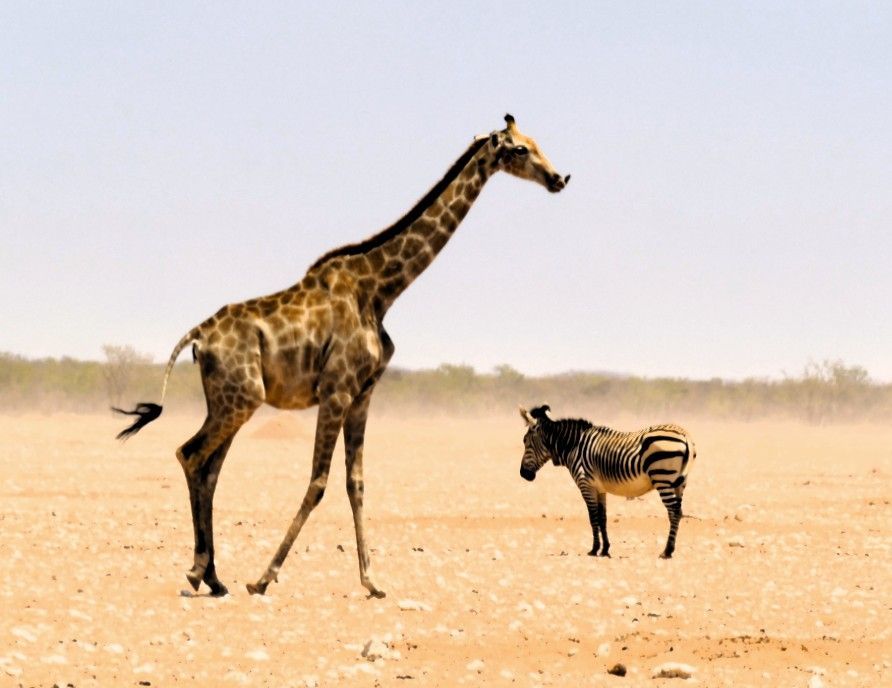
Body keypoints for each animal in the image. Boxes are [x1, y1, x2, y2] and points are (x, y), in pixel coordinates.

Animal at [115, 114, 570, 598]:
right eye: (520, 149)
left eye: (536, 142)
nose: (559, 178)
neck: (382, 290)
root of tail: (198, 337)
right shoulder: (335, 390)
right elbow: (318, 481)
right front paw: (264, 577)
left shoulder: (363, 393)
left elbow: (357, 483)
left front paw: (372, 581)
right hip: (238, 400)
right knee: (190, 455)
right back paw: (199, 572)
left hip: (229, 403)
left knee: (209, 469)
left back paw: (214, 578)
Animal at [518, 405, 696, 559]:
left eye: (525, 441)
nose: (523, 474)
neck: (573, 446)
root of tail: (685, 435)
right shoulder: (600, 488)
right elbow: (602, 518)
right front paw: (605, 550)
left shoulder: (586, 485)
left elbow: (593, 517)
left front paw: (594, 549)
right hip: (679, 483)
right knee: (678, 512)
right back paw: (670, 549)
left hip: (663, 479)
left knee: (673, 512)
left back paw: (667, 551)